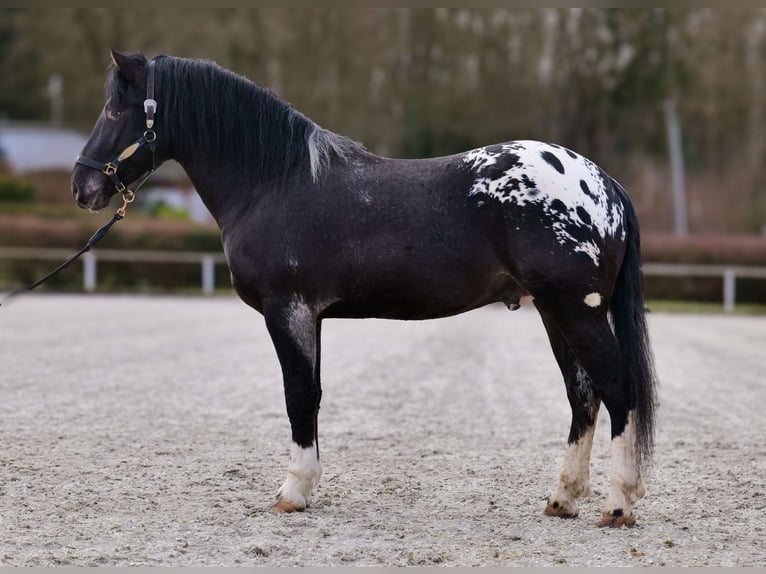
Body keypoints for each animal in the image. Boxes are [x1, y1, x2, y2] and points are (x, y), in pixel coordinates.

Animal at [70, 50, 660, 532]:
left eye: (115, 110)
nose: (82, 187)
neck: (275, 182)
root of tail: (603, 183)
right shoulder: (311, 316)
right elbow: (311, 395)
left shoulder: (288, 311)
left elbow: (297, 396)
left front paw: (293, 492)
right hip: (555, 313)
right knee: (583, 397)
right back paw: (563, 499)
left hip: (577, 312)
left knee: (618, 392)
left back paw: (618, 505)